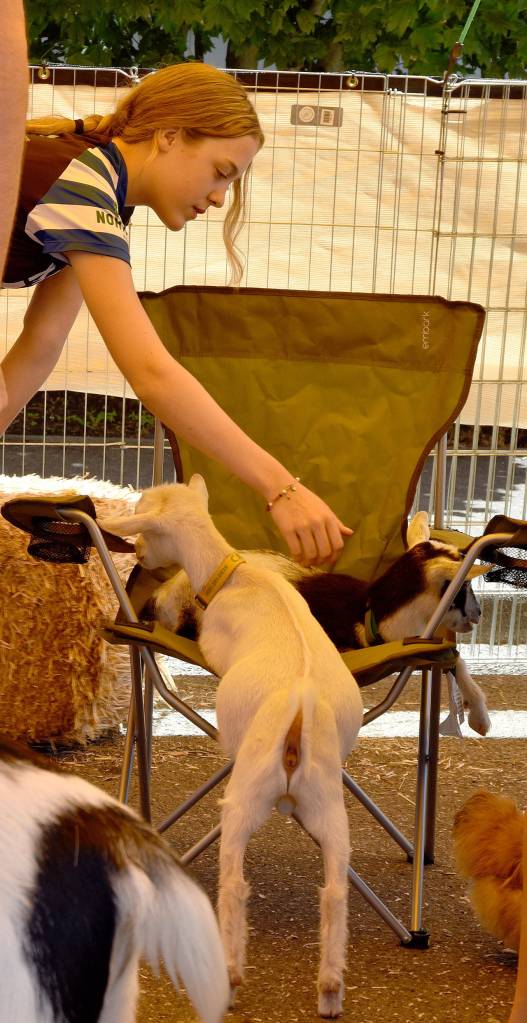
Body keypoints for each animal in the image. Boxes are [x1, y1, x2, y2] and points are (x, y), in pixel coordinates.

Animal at [102, 476, 364, 1019]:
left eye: (144, 524)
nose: (139, 554)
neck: (234, 576)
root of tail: (298, 712)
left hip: (243, 797)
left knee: (235, 885)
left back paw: (232, 974)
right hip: (329, 805)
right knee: (333, 892)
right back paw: (330, 989)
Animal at [142, 511, 491, 737]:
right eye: (461, 589)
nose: (478, 615)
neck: (366, 610)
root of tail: (161, 595)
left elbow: (455, 659)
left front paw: (481, 719)